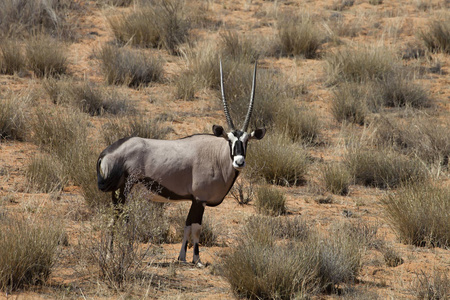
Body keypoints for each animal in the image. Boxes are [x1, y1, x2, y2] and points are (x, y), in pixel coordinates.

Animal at [96, 60, 266, 264]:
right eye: (229, 140)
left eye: (247, 141)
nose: (239, 162)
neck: (217, 155)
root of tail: (107, 152)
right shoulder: (200, 200)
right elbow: (196, 228)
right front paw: (196, 260)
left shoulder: (194, 200)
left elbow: (187, 226)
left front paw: (182, 257)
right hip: (125, 191)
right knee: (121, 218)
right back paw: (121, 253)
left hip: (117, 194)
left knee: (115, 218)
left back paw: (112, 253)